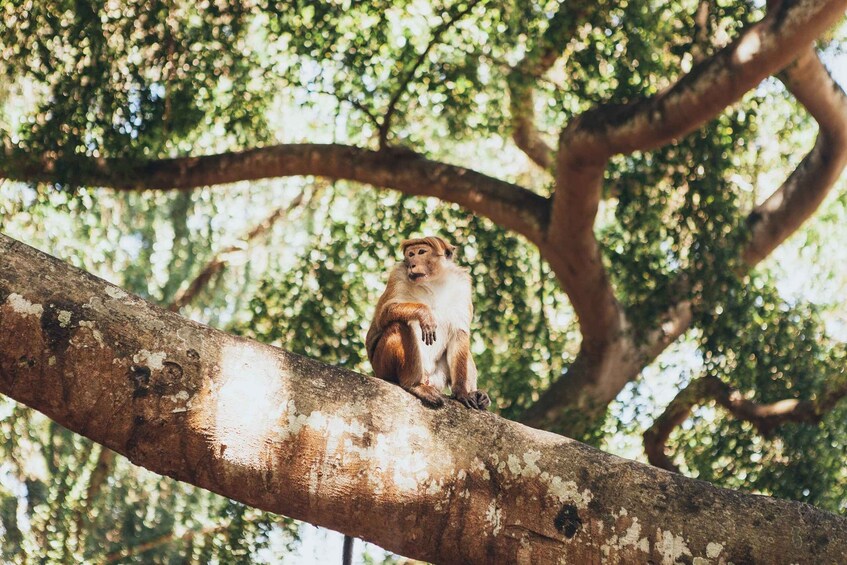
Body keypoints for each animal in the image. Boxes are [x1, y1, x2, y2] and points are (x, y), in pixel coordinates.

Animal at [364, 235, 490, 410]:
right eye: (410, 254)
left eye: (421, 252)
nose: (412, 264)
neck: (434, 282)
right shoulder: (398, 275)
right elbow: (383, 315)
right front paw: (424, 313)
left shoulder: (462, 284)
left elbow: (459, 332)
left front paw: (462, 393)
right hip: (382, 368)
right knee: (399, 324)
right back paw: (414, 384)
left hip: (438, 377)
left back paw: (477, 395)